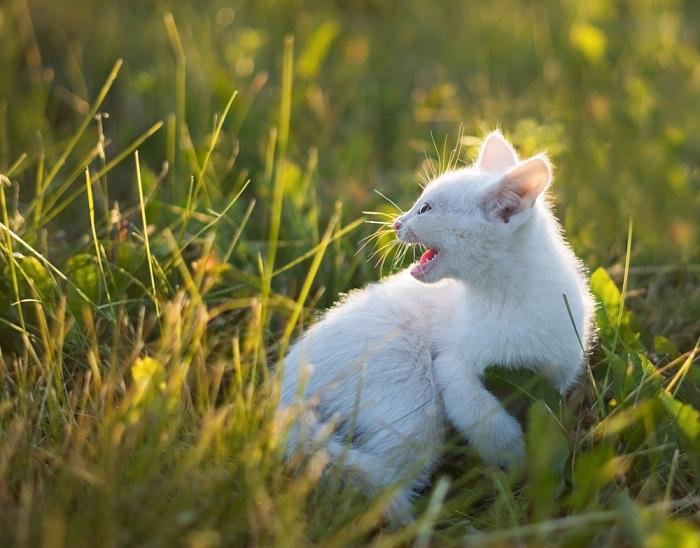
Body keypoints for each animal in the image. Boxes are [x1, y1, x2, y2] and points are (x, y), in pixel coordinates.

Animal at [276, 128, 592, 524]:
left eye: (426, 209)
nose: (397, 223)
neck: (510, 296)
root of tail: (283, 388)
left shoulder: (555, 373)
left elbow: (548, 416)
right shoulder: (452, 365)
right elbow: (483, 417)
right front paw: (514, 460)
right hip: (408, 387)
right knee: (384, 469)